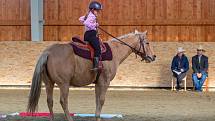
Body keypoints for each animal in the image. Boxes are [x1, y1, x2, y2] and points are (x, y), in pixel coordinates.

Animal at [27, 29, 156, 121]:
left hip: (49, 83)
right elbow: (102, 100)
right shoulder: (104, 82)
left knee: (50, 101)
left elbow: (97, 100)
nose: (153, 57)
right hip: (64, 84)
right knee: (63, 101)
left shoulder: (98, 83)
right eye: (147, 42)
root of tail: (48, 52)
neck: (115, 52)